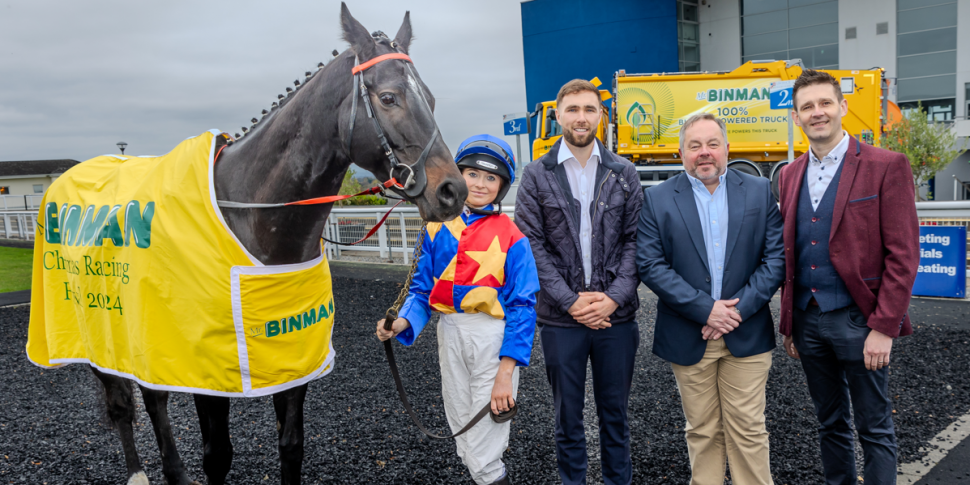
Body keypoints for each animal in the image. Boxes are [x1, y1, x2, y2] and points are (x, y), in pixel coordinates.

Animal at [91, 4, 466, 484]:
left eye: (431, 99)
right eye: (388, 98)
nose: (452, 190)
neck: (249, 218)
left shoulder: (294, 350)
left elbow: (291, 445)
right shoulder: (204, 366)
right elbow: (217, 454)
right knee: (131, 400)